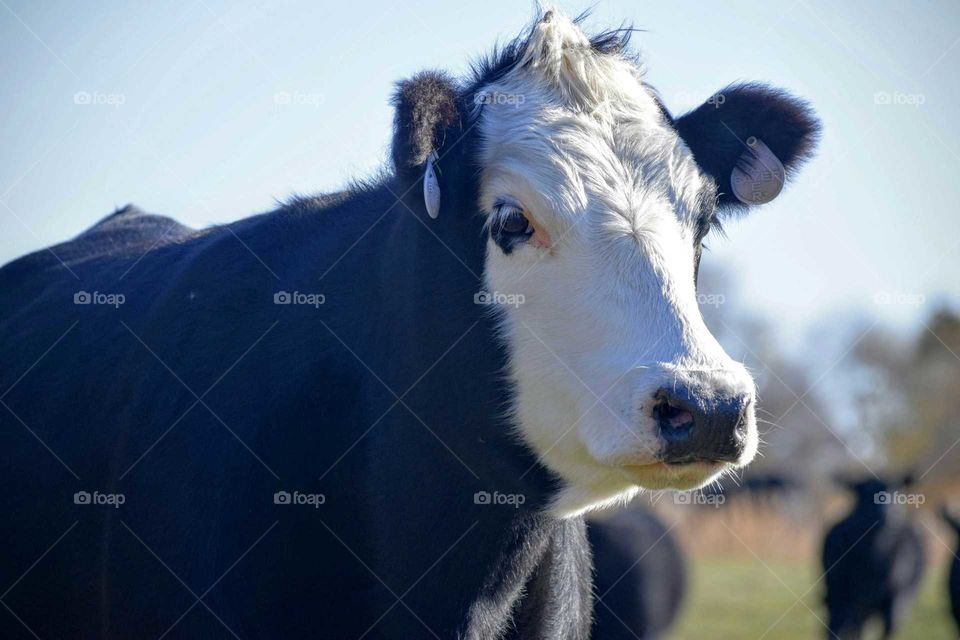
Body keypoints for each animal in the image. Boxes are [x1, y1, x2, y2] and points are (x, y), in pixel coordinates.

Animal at [820, 476, 928, 640]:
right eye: (868, 494)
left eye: (898, 494)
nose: (890, 515)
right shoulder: (841, 595)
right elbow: (838, 628)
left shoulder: (894, 601)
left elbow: (888, 629)